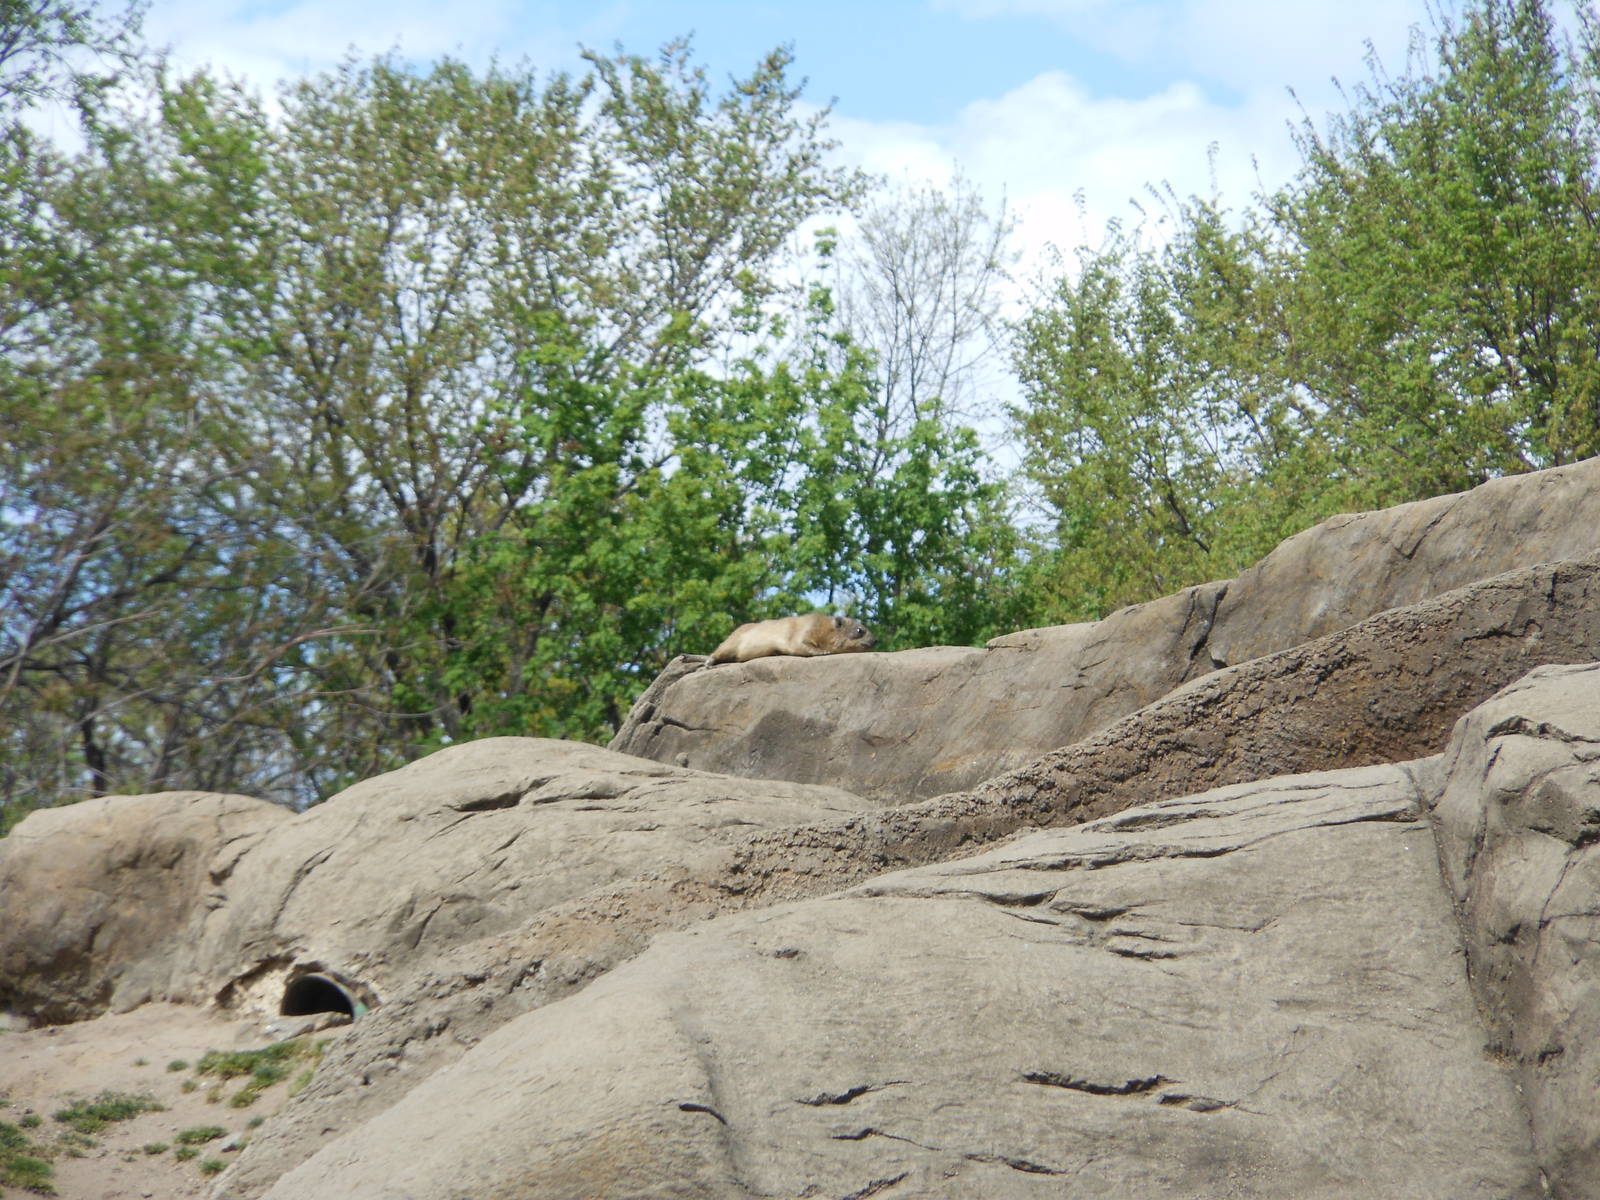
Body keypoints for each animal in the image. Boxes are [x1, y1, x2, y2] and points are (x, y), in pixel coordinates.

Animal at [708, 613, 876, 665]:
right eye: (860, 630)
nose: (876, 640)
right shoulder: (803, 630)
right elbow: (800, 645)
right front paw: (823, 652)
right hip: (733, 641)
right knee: (720, 650)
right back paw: (709, 661)